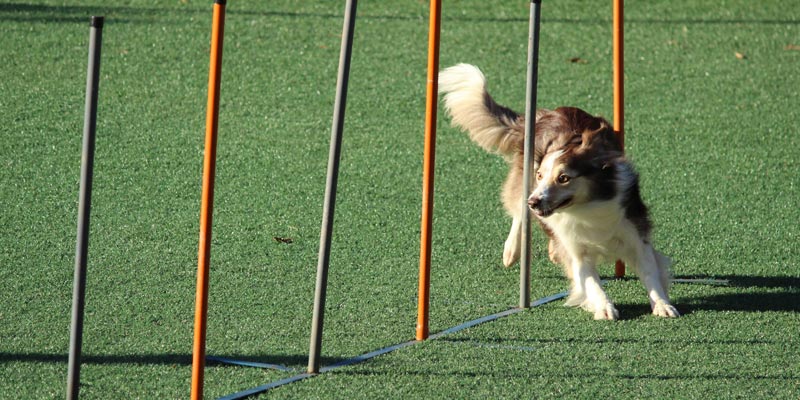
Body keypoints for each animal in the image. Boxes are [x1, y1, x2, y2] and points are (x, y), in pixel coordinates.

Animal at [440, 64, 680, 320]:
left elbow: (650, 272)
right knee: (517, 210)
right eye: (540, 175)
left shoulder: (635, 233)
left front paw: (662, 304)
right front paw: (604, 307)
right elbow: (592, 282)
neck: (587, 207)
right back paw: (512, 250)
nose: (534, 202)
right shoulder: (576, 249)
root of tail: (545, 113)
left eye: (564, 178)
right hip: (523, 179)